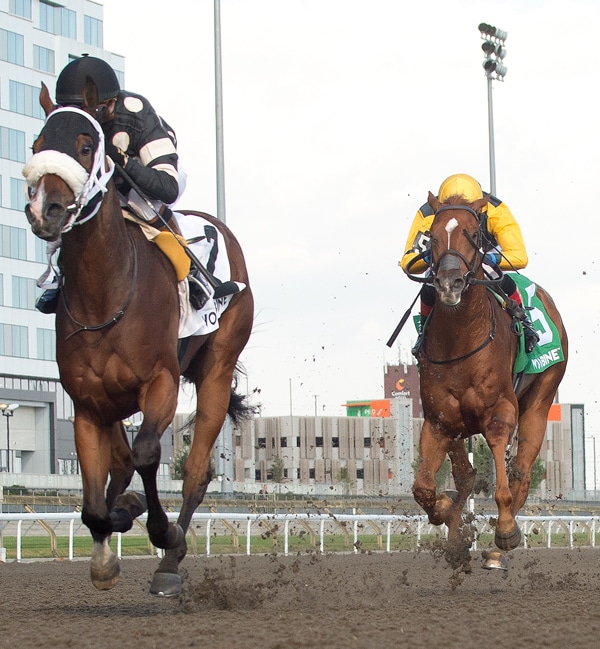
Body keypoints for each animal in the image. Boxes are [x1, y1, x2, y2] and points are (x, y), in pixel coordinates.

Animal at [23, 81, 254, 596]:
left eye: (86, 146)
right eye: (36, 146)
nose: (45, 209)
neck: (104, 293)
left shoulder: (160, 382)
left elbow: (148, 452)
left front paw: (161, 530)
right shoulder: (88, 403)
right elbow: (96, 499)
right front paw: (108, 545)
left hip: (216, 368)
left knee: (195, 470)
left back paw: (169, 561)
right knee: (123, 464)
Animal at [409, 192, 568, 569]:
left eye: (473, 234)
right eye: (430, 237)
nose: (448, 284)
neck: (461, 340)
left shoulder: (500, 411)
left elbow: (500, 474)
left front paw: (505, 529)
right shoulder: (439, 421)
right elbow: (426, 488)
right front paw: (451, 524)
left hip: (542, 396)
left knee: (521, 474)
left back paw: (498, 548)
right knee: (466, 475)